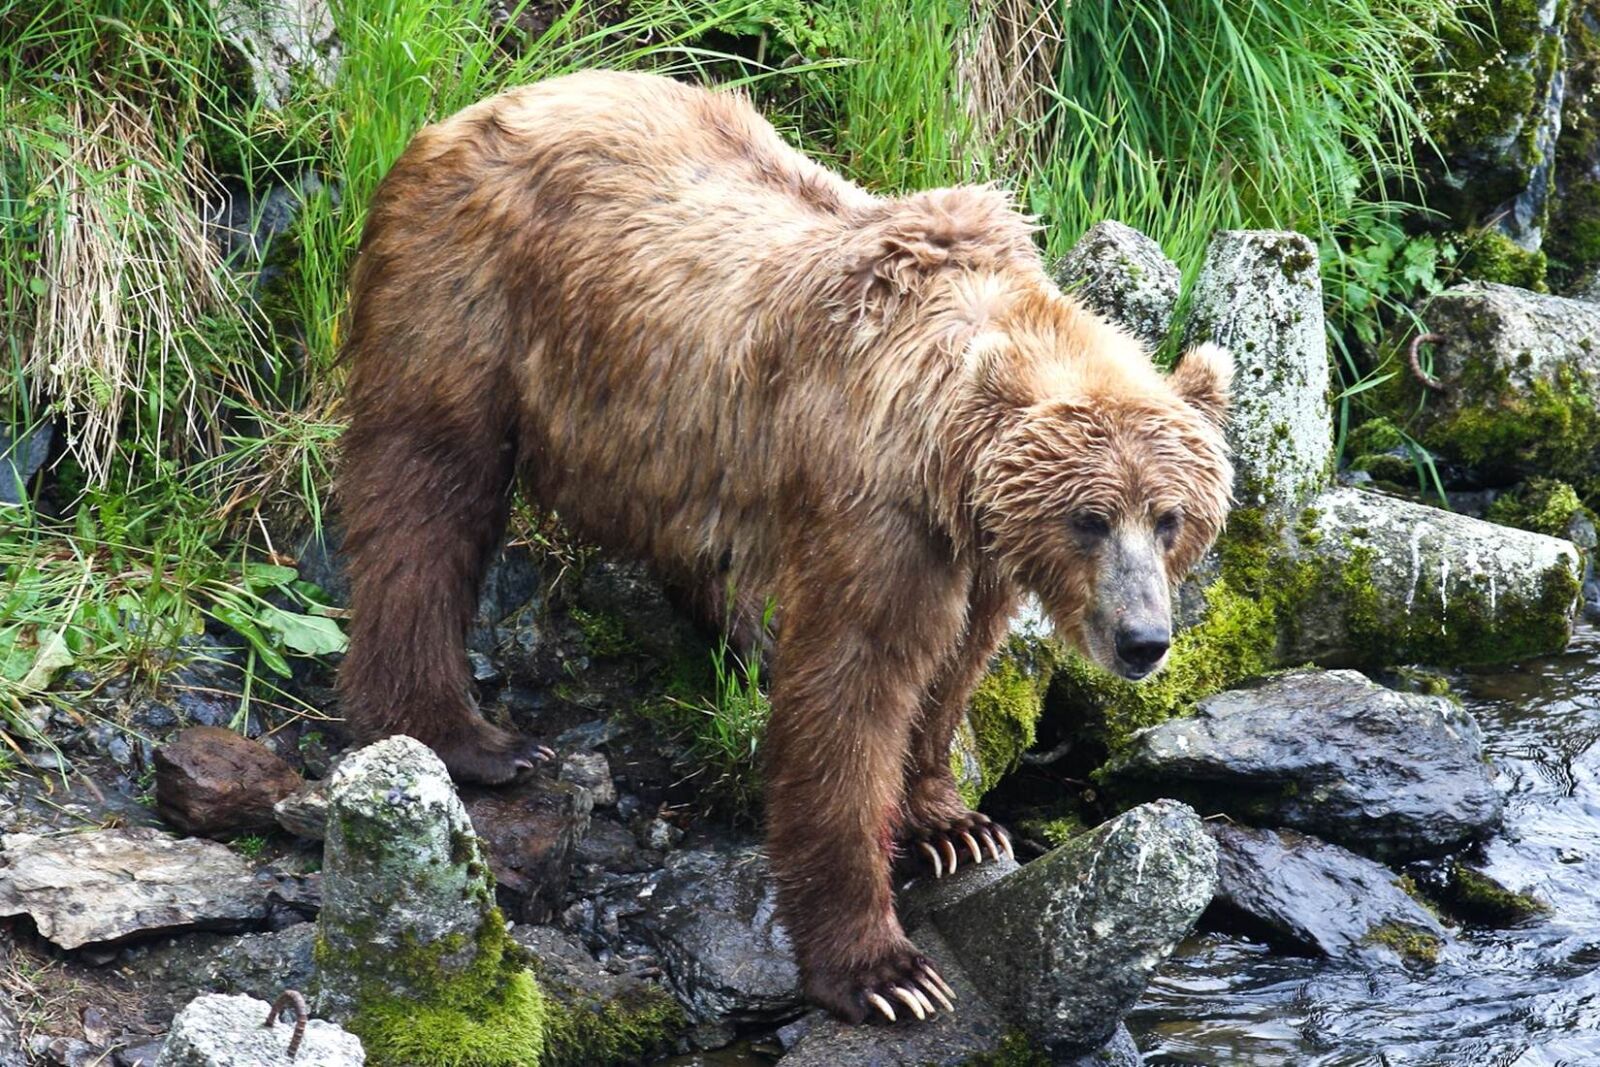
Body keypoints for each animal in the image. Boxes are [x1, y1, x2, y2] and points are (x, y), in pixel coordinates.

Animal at [335, 69, 1233, 1024]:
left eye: (1170, 517)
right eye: (1090, 517)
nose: (1143, 640)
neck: (942, 453)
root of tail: (472, 109)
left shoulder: (981, 546)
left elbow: (956, 662)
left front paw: (953, 822)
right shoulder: (876, 510)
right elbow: (854, 689)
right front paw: (884, 969)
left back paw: (745, 638)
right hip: (469, 304)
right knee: (426, 498)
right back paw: (468, 735)